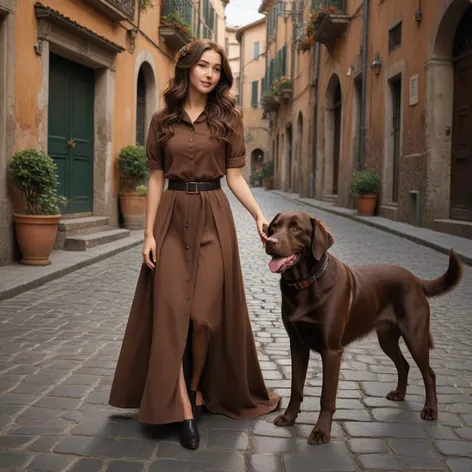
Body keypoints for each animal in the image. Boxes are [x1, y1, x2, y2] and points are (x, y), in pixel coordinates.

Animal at [264, 212, 462, 444]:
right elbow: (296, 387)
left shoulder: (332, 352)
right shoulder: (297, 345)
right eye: (274, 227)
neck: (305, 284)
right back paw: (399, 394)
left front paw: (321, 432)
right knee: (403, 365)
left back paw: (430, 410)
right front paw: (288, 418)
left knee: (429, 374)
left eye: (296, 228)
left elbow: (326, 397)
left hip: (415, 336)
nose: (270, 242)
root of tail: (415, 279)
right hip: (386, 338)